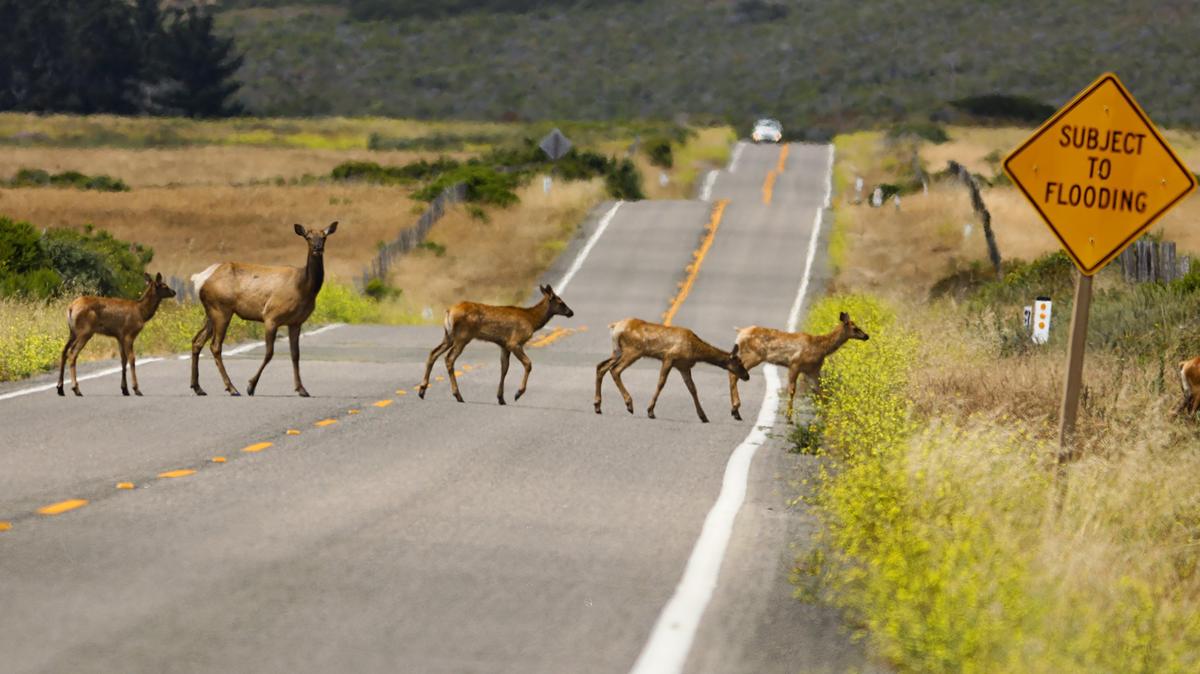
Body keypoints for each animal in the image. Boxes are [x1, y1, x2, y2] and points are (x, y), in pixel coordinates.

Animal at [189, 222, 337, 397]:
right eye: (308, 237)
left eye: (324, 236)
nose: (317, 248)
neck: (304, 287)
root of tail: (199, 279)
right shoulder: (271, 316)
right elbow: (269, 353)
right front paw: (251, 386)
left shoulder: (296, 322)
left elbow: (295, 354)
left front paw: (302, 389)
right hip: (221, 309)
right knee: (215, 346)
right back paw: (232, 388)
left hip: (211, 312)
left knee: (197, 341)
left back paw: (198, 387)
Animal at [418, 284, 574, 404]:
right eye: (561, 302)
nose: (571, 312)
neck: (532, 320)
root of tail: (448, 312)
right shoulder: (514, 342)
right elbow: (528, 364)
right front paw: (518, 393)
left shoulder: (504, 345)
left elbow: (504, 368)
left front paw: (501, 398)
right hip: (463, 336)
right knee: (449, 358)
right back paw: (457, 395)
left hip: (449, 336)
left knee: (433, 353)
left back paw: (422, 390)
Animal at [594, 318, 749, 423]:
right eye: (739, 362)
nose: (747, 376)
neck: (696, 351)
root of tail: (615, 326)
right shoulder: (669, 357)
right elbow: (661, 383)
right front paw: (650, 411)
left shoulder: (683, 366)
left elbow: (693, 389)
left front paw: (703, 416)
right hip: (633, 351)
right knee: (615, 370)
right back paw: (629, 404)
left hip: (617, 351)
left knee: (601, 366)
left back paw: (597, 406)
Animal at [728, 311, 869, 422]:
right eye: (855, 328)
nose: (866, 336)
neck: (821, 347)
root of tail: (741, 332)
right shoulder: (795, 364)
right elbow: (792, 390)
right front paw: (789, 417)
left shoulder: (812, 370)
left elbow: (821, 391)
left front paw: (828, 415)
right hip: (754, 355)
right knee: (733, 373)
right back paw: (735, 409)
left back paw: (735, 411)